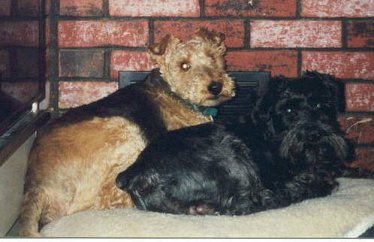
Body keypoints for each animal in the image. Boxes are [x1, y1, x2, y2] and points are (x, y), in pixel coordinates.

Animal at [19, 28, 235, 236]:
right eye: (184, 65)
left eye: (212, 56)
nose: (216, 86)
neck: (174, 92)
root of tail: (36, 184)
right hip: (124, 130)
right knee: (109, 197)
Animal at [117, 71, 372, 216]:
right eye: (289, 111)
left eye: (320, 105)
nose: (314, 136)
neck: (271, 134)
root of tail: (134, 173)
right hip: (233, 158)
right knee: (249, 203)